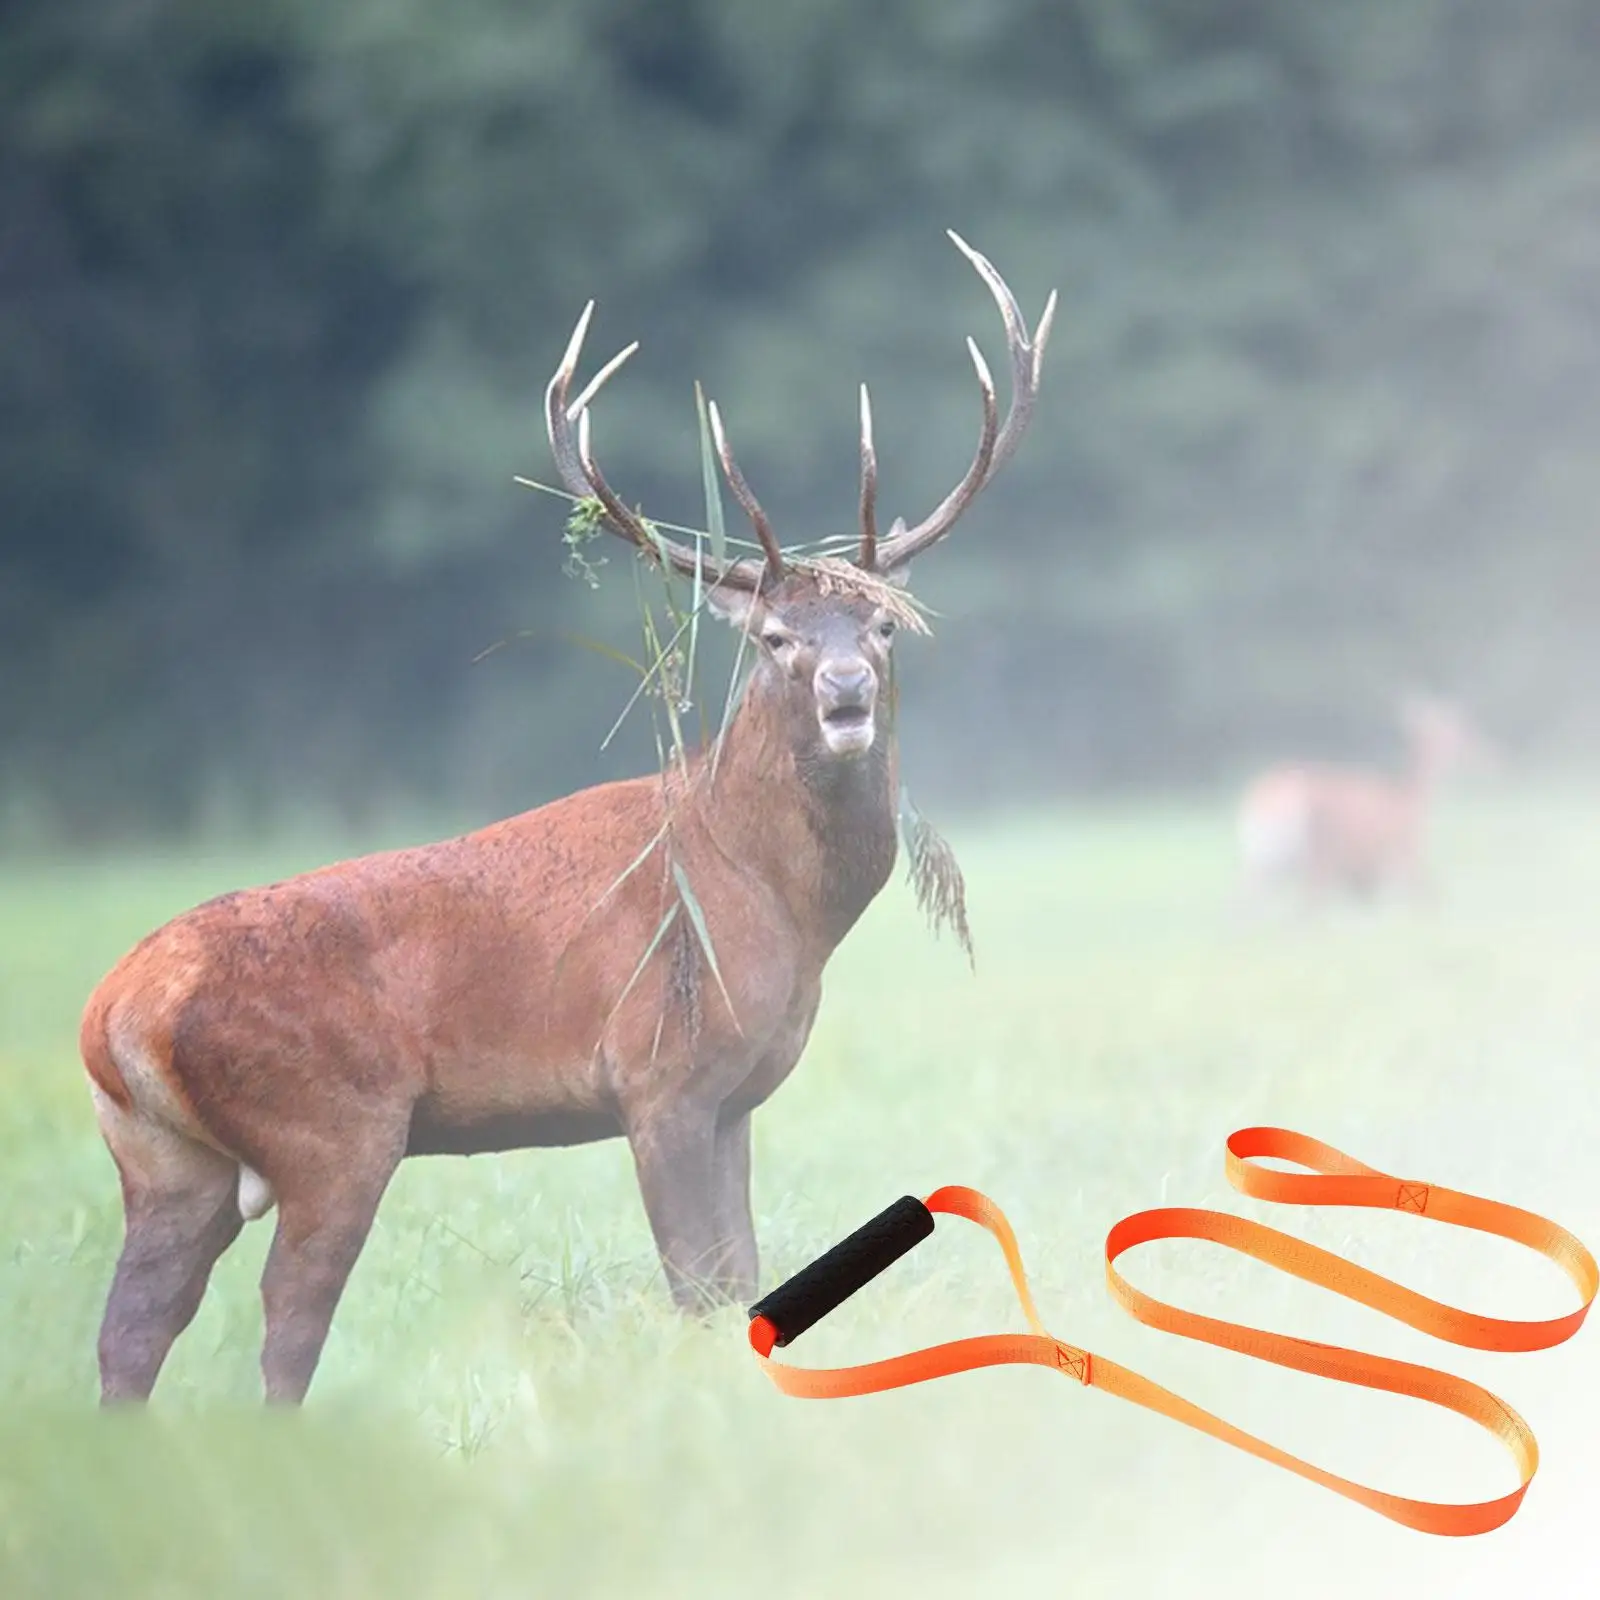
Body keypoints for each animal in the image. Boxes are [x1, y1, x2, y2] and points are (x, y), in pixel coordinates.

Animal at [78, 233, 1056, 1404]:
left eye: (882, 624)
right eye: (774, 636)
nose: (847, 692)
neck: (769, 896)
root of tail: (114, 1011)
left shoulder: (737, 1098)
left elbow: (743, 1277)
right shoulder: (659, 1075)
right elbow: (697, 1287)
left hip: (162, 1157)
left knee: (134, 1330)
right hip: (333, 1128)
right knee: (287, 1321)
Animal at [1236, 692, 1492, 907]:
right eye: (1459, 732)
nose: (1485, 756)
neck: (1410, 799)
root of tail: (1271, 795)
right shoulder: (1406, 850)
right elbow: (1426, 896)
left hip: (1264, 852)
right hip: (1318, 853)